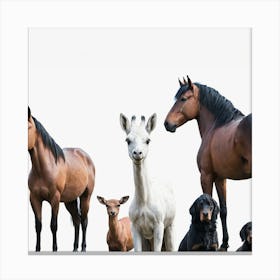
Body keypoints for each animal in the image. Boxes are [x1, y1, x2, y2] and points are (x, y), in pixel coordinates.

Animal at [27, 107, 95, 252]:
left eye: (28, 127)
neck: (44, 169)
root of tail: (85, 156)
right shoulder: (34, 199)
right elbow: (38, 226)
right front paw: (37, 249)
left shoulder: (55, 199)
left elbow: (53, 225)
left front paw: (54, 248)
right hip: (70, 201)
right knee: (77, 220)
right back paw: (74, 248)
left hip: (86, 197)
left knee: (84, 221)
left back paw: (83, 248)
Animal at [164, 76, 252, 249]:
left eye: (183, 99)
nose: (167, 124)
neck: (216, 126)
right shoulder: (220, 178)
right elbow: (223, 209)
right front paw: (225, 243)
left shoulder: (206, 176)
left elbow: (208, 199)